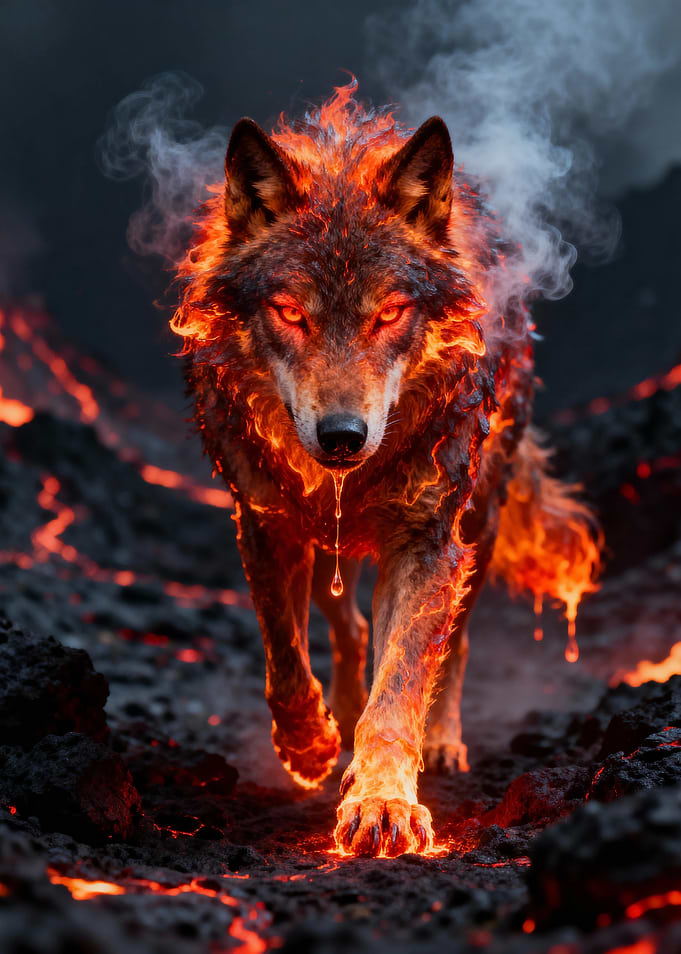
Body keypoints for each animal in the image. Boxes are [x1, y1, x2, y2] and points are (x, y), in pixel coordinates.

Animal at [172, 84, 600, 857]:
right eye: (290, 312)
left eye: (391, 312)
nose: (343, 437)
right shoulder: (265, 522)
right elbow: (284, 650)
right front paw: (309, 744)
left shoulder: (427, 540)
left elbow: (401, 682)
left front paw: (383, 803)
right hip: (329, 546)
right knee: (346, 627)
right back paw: (339, 718)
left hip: (477, 524)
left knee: (449, 645)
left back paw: (439, 741)